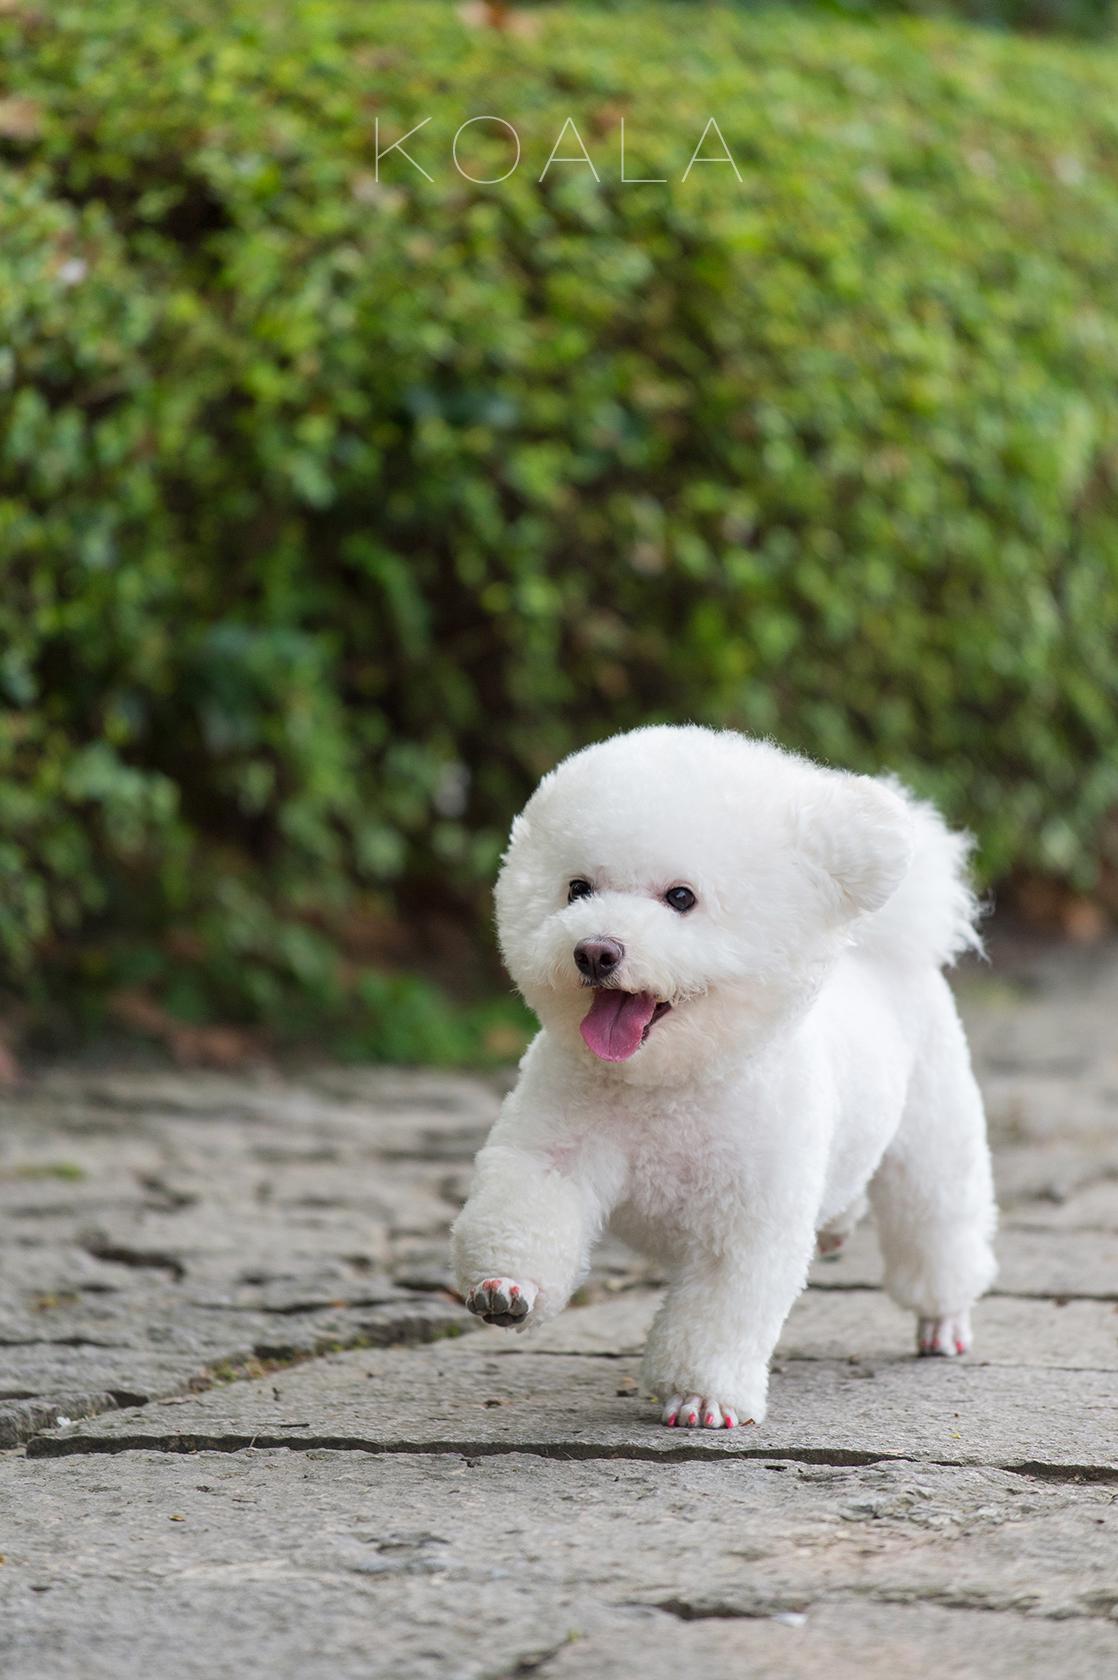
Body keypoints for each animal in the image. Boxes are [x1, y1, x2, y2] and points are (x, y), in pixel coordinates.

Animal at [451, 726, 997, 1429]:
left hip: (934, 1130)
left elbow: (722, 1306)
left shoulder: (749, 1217)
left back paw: (943, 1318)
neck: (669, 1083)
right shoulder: (554, 1151)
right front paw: (507, 1288)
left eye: (681, 897)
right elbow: (529, 1203)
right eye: (576, 889)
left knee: (938, 1222)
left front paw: (701, 1396)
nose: (595, 951)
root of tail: (886, 949)